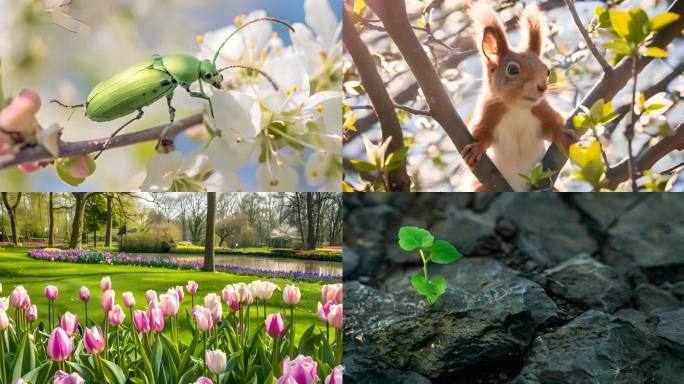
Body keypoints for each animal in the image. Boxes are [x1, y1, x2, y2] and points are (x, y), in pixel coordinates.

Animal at [460, 1, 576, 190]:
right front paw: (477, 147)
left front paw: (562, 137)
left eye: (547, 70)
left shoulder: (541, 110)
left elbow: (553, 125)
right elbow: (482, 133)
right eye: (512, 69)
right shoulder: (489, 113)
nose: (542, 87)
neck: (518, 108)